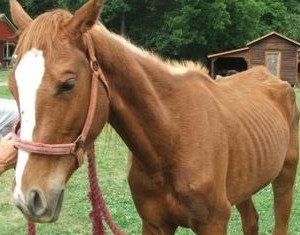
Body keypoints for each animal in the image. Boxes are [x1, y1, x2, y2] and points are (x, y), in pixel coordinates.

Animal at [8, 0, 298, 235]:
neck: (173, 138)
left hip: (285, 175)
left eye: (67, 84)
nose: (28, 197)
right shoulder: (155, 224)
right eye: (12, 87)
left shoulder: (212, 223)